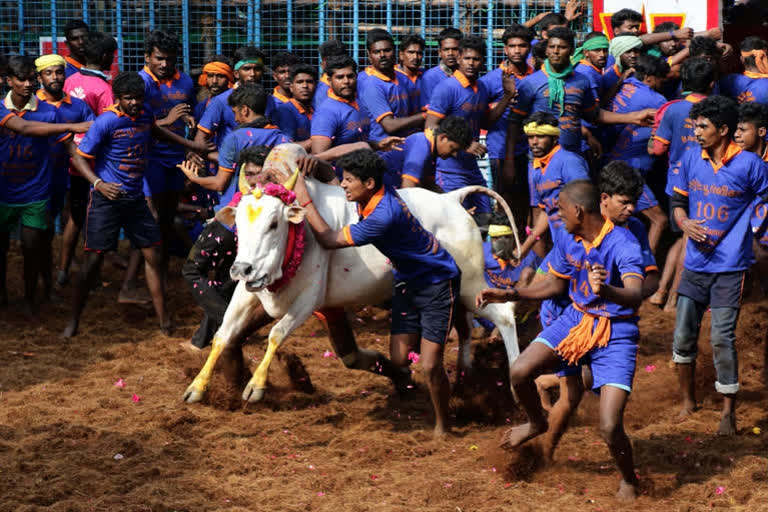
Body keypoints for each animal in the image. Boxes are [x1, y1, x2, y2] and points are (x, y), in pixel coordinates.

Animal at [183, 174, 520, 406]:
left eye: (273, 224)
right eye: (239, 223)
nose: (241, 269)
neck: (298, 238)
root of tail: (451, 200)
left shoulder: (308, 299)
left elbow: (276, 334)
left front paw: (256, 385)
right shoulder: (247, 292)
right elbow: (223, 335)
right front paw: (197, 386)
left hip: (472, 284)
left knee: (504, 314)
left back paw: (515, 382)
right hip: (459, 290)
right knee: (464, 326)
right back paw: (462, 375)